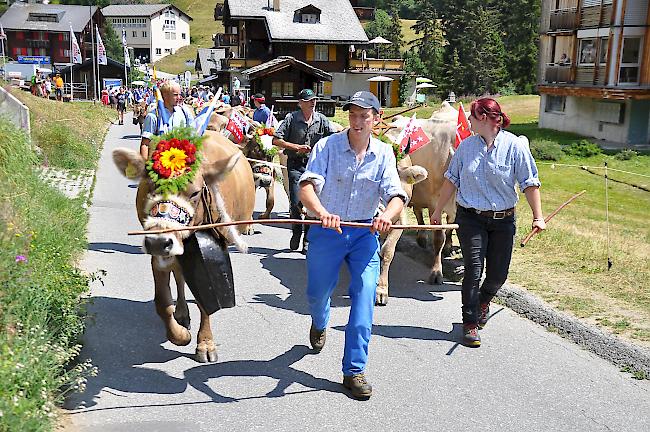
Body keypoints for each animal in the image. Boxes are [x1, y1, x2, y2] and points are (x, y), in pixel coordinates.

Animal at [110, 130, 254, 362]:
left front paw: (205, 344)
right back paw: (182, 313)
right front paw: (180, 335)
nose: (159, 241)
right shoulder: (158, 253)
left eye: (194, 193)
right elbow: (162, 302)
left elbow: (205, 299)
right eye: (150, 187)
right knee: (179, 276)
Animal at [382, 101, 458, 284]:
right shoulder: (435, 203)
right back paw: (422, 238)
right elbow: (438, 238)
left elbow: (450, 227)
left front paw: (448, 247)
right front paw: (436, 272)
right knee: (417, 211)